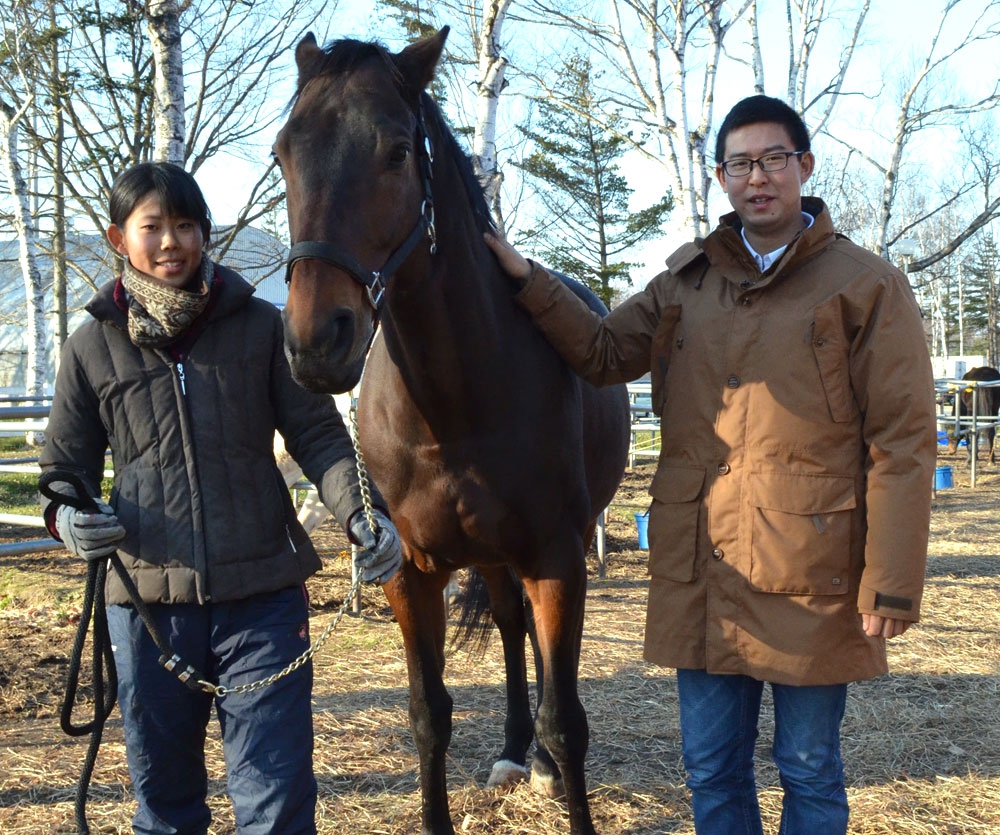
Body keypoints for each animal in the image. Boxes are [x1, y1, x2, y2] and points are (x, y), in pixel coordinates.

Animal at [274, 26, 628, 835]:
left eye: (398, 151)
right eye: (283, 151)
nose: (316, 342)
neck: (456, 406)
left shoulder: (556, 556)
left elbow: (568, 718)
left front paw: (560, 771)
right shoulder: (410, 570)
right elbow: (427, 712)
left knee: (532, 644)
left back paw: (543, 765)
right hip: (490, 559)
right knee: (508, 623)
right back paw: (513, 751)